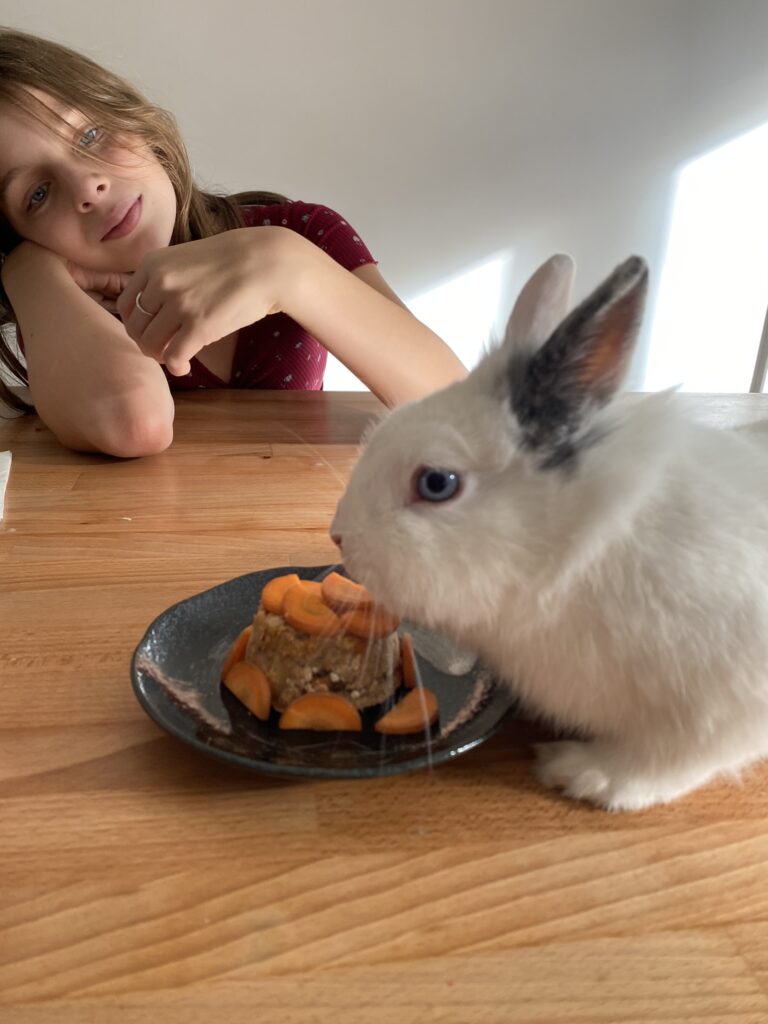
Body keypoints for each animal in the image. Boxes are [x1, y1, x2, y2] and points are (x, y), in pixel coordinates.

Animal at [333, 256, 768, 806]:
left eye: (436, 483)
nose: (339, 535)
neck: (578, 553)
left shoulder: (720, 705)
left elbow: (670, 760)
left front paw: (581, 773)